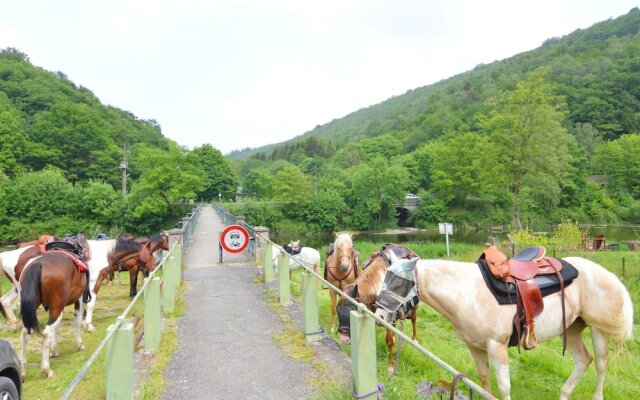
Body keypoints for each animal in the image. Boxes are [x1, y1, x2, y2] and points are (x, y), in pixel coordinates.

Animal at [336, 244, 420, 376]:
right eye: (338, 311)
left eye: (352, 311)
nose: (344, 339)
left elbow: (389, 341)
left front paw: (390, 368)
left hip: (415, 306)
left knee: (414, 319)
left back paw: (415, 339)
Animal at [382, 255, 632, 398]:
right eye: (385, 277)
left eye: (399, 282)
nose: (381, 314)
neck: (468, 293)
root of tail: (611, 276)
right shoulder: (475, 347)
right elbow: (484, 381)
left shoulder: (497, 347)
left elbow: (504, 386)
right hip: (569, 329)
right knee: (583, 359)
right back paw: (564, 393)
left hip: (598, 330)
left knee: (601, 364)